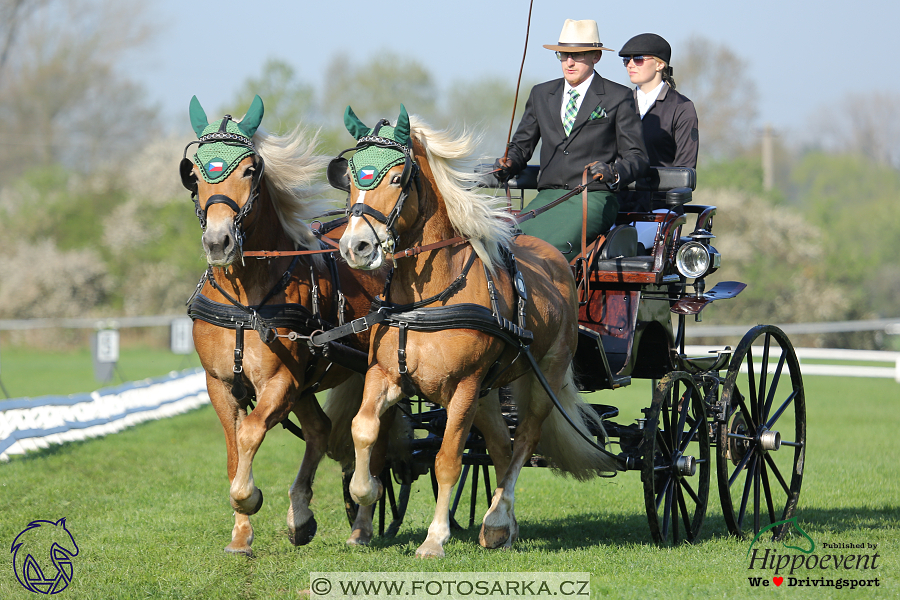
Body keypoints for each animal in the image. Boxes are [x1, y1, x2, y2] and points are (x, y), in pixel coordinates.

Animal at [181, 96, 396, 556]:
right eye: (195, 173)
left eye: (249, 170)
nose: (218, 242)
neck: (246, 299)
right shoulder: (219, 382)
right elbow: (234, 448)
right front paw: (241, 533)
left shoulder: (280, 380)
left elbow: (249, 433)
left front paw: (249, 498)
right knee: (319, 429)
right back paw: (301, 514)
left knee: (375, 445)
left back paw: (362, 525)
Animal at [330, 104, 620, 556]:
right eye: (351, 178)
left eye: (396, 178)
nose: (355, 247)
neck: (428, 299)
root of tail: (555, 258)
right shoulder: (385, 375)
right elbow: (363, 429)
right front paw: (366, 493)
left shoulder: (463, 386)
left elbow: (448, 460)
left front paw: (435, 539)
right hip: (487, 392)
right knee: (500, 447)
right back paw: (501, 527)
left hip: (542, 377)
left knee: (524, 442)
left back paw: (498, 518)